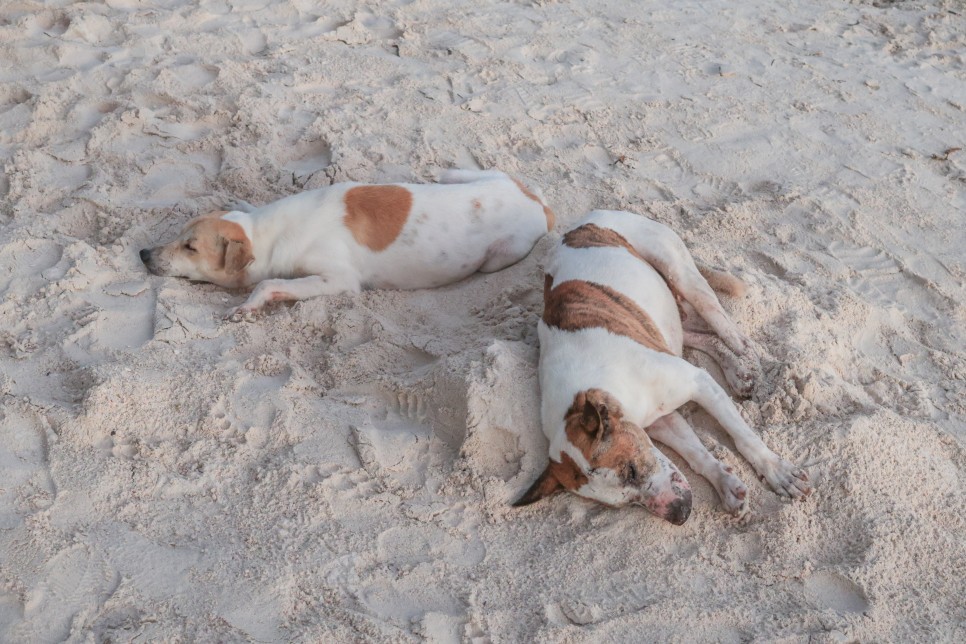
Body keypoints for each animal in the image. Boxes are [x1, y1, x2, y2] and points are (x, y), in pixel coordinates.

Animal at [520, 211, 812, 524]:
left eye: (631, 470)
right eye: (619, 505)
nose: (679, 513)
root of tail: (589, 217)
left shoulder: (699, 384)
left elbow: (745, 438)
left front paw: (777, 472)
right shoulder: (659, 422)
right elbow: (696, 454)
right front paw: (726, 485)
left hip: (679, 273)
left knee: (723, 323)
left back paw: (745, 355)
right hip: (663, 320)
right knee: (700, 336)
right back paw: (738, 373)